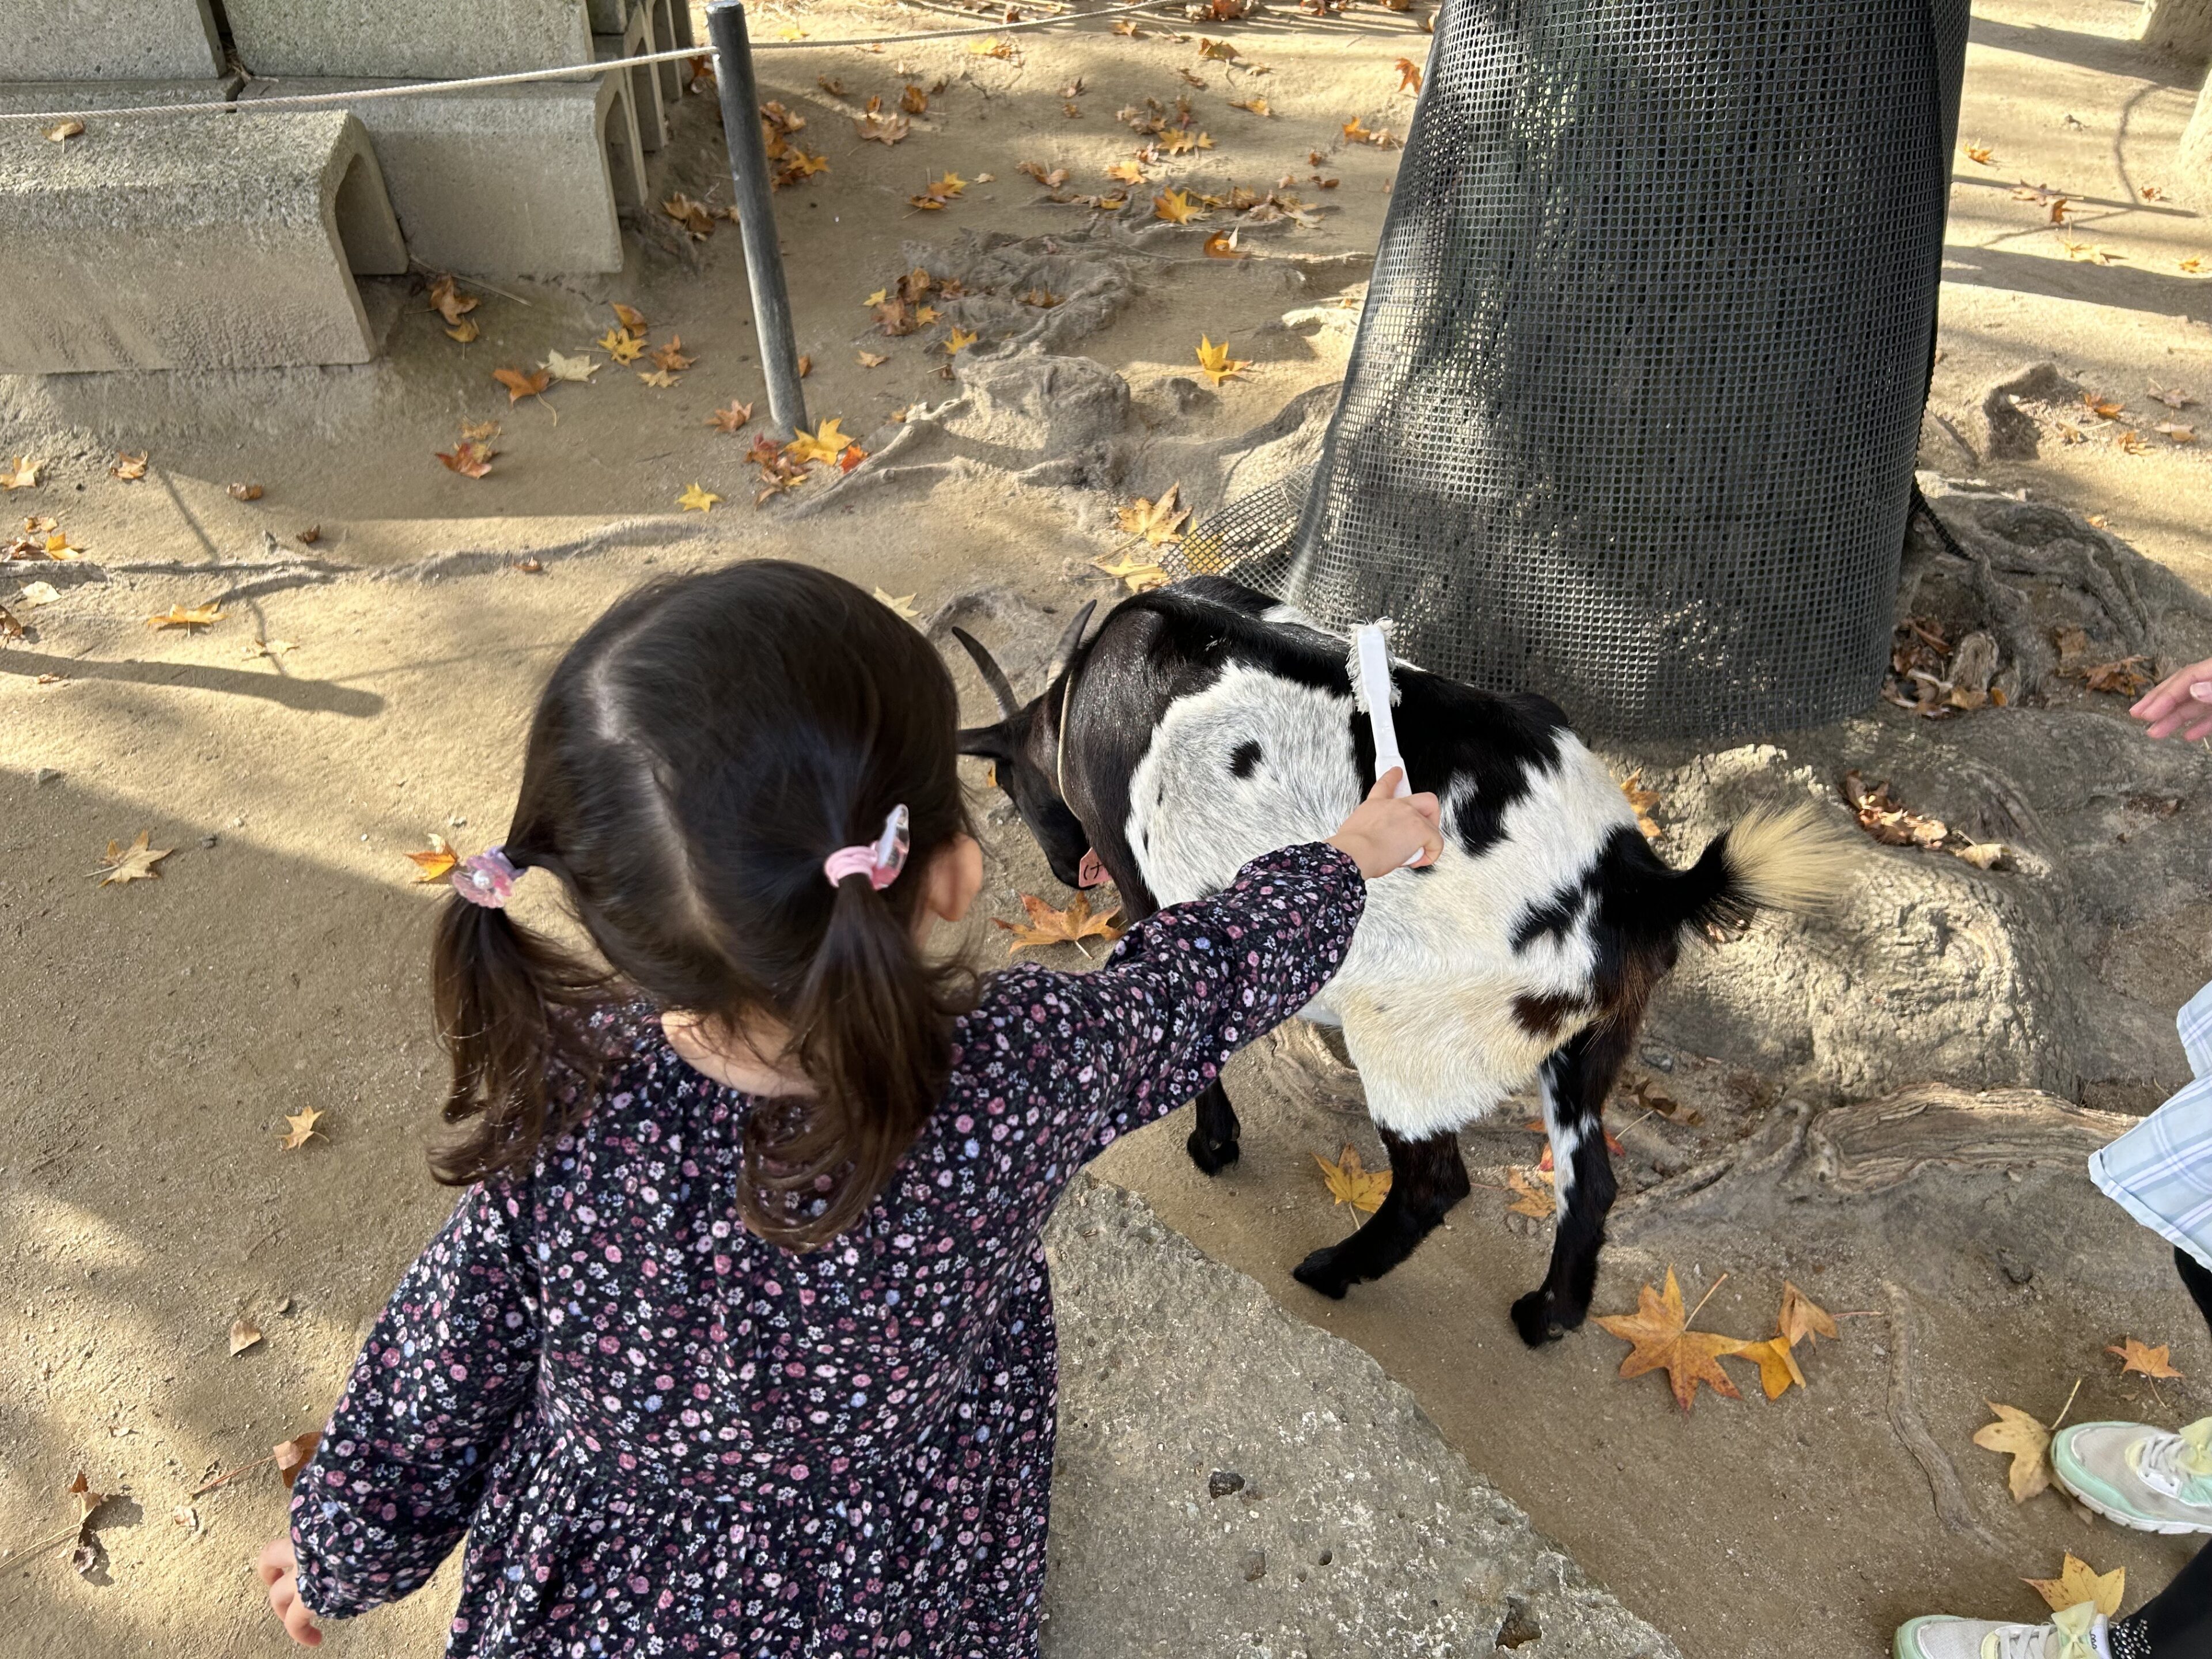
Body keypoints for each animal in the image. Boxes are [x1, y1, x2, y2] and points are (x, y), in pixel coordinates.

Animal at [951, 579, 1849, 1354]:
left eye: (1002, 777)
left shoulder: (1146, 888)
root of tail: (1636, 882)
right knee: (1589, 1183)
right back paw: (1546, 1317)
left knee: (1433, 1185)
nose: (1066, 871)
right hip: (1584, 1042)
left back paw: (1331, 1271)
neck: (1080, 694)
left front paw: (1213, 1145)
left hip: (1415, 1035)